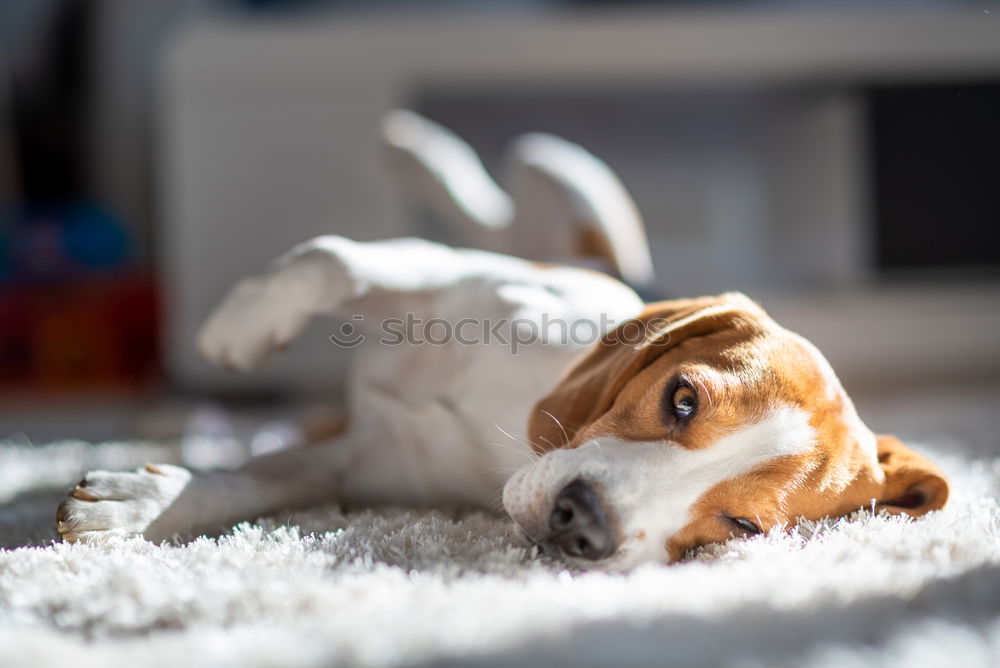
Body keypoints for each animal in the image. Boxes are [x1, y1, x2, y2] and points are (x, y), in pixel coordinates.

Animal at [52, 111, 944, 568]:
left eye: (744, 528)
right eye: (682, 398)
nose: (583, 526)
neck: (509, 428)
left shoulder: (358, 466)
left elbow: (254, 485)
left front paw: (136, 506)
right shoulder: (459, 280)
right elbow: (333, 258)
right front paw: (240, 327)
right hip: (558, 194)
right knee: (503, 197)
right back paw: (418, 149)